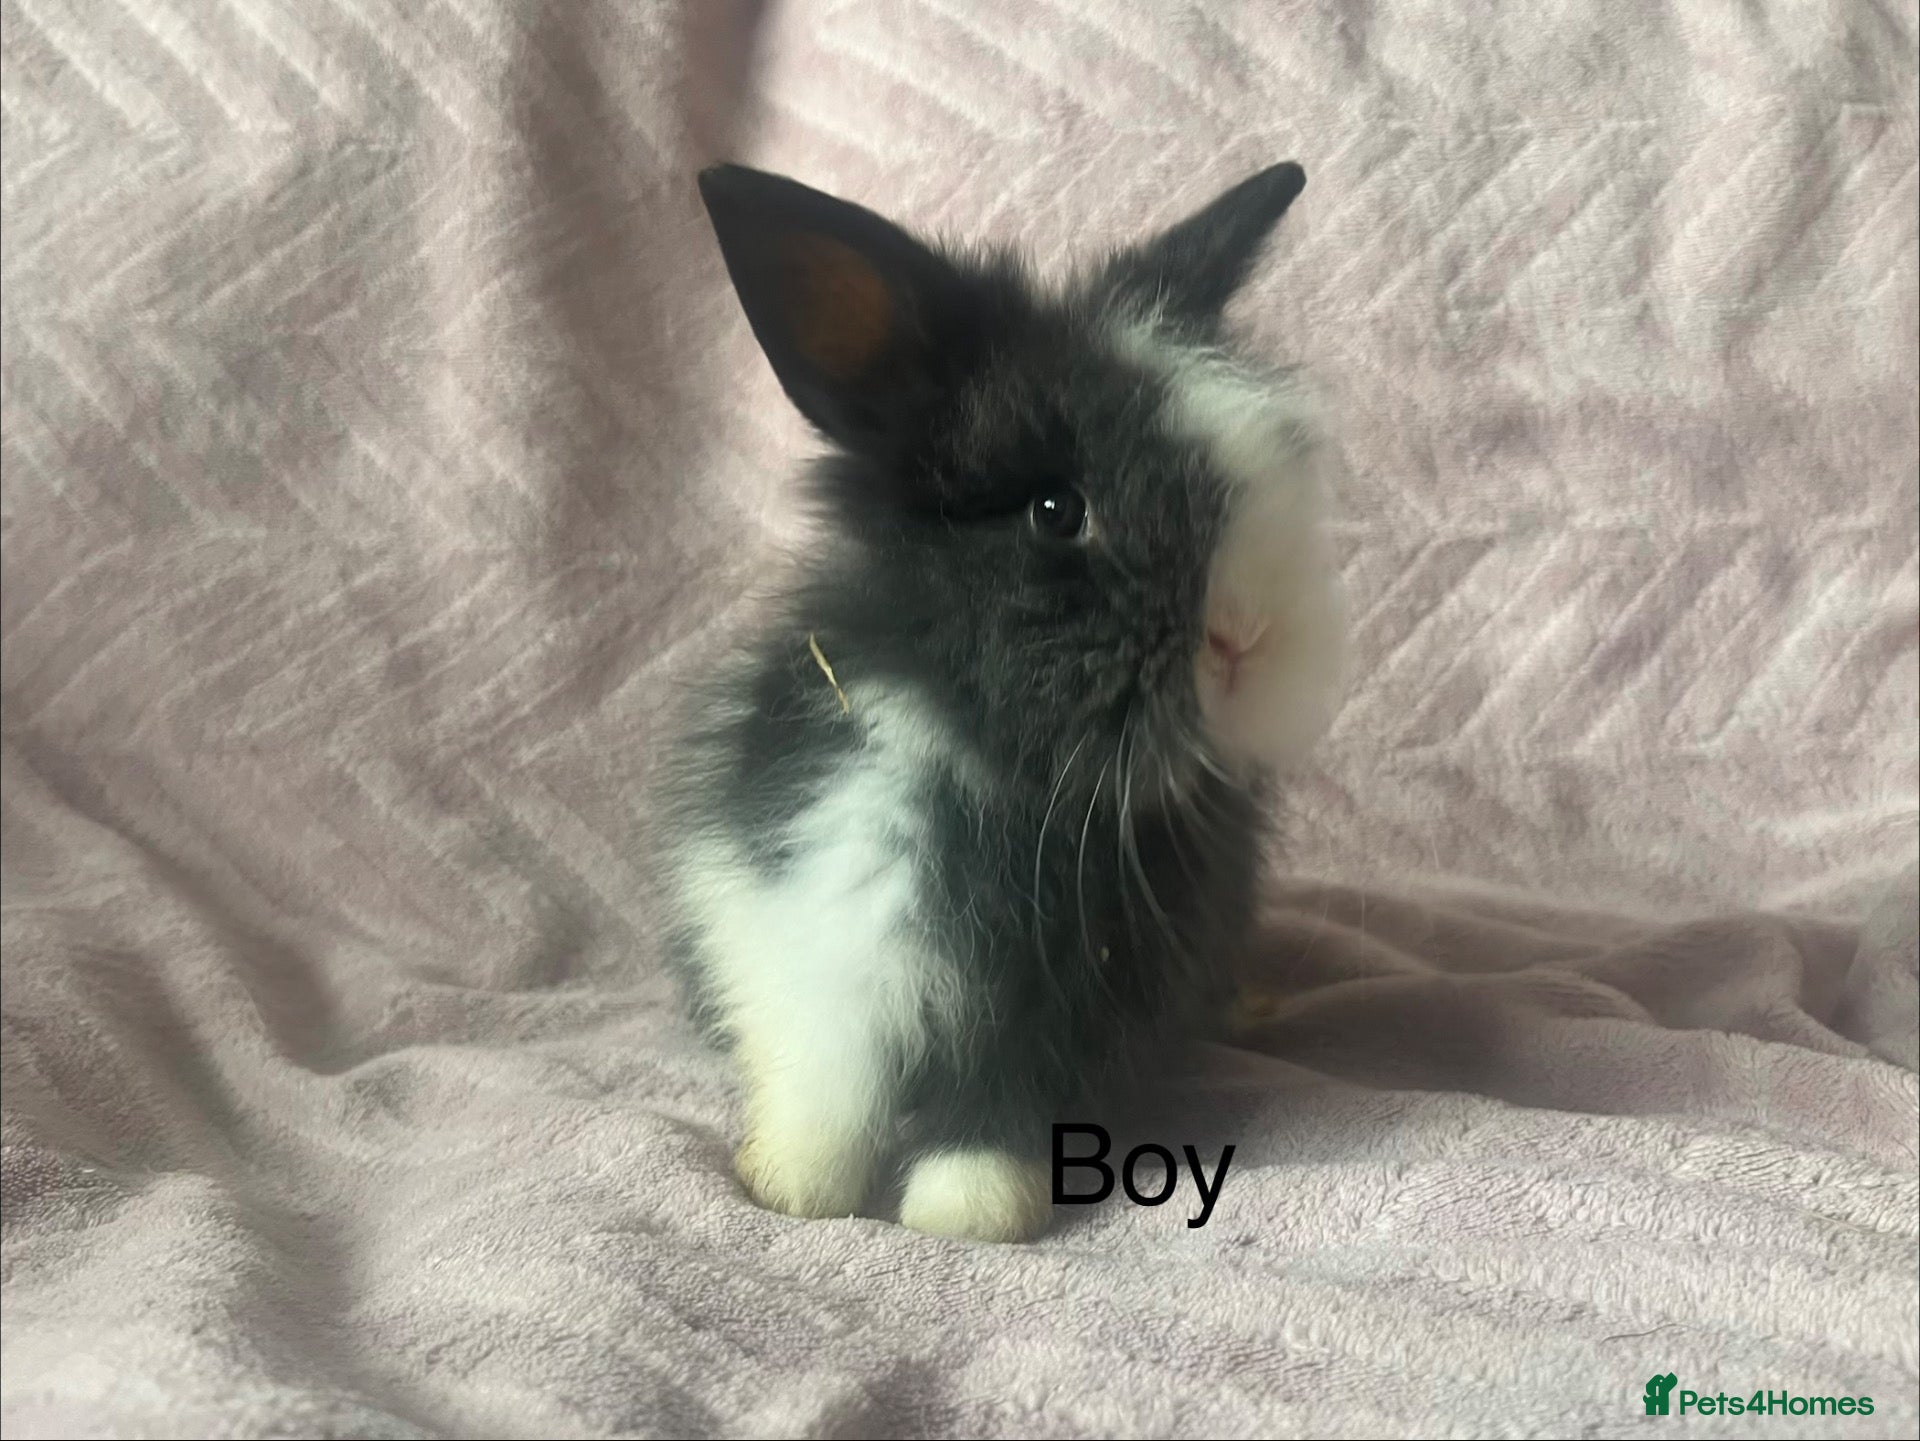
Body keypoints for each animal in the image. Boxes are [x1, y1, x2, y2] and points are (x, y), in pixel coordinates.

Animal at [658, 160, 1345, 1243]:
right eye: (1057, 510)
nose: (1246, 635)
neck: (1005, 773)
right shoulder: (813, 943)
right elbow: (826, 1087)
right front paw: (792, 1188)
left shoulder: (1072, 1005)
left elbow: (1005, 1103)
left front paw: (969, 1210)